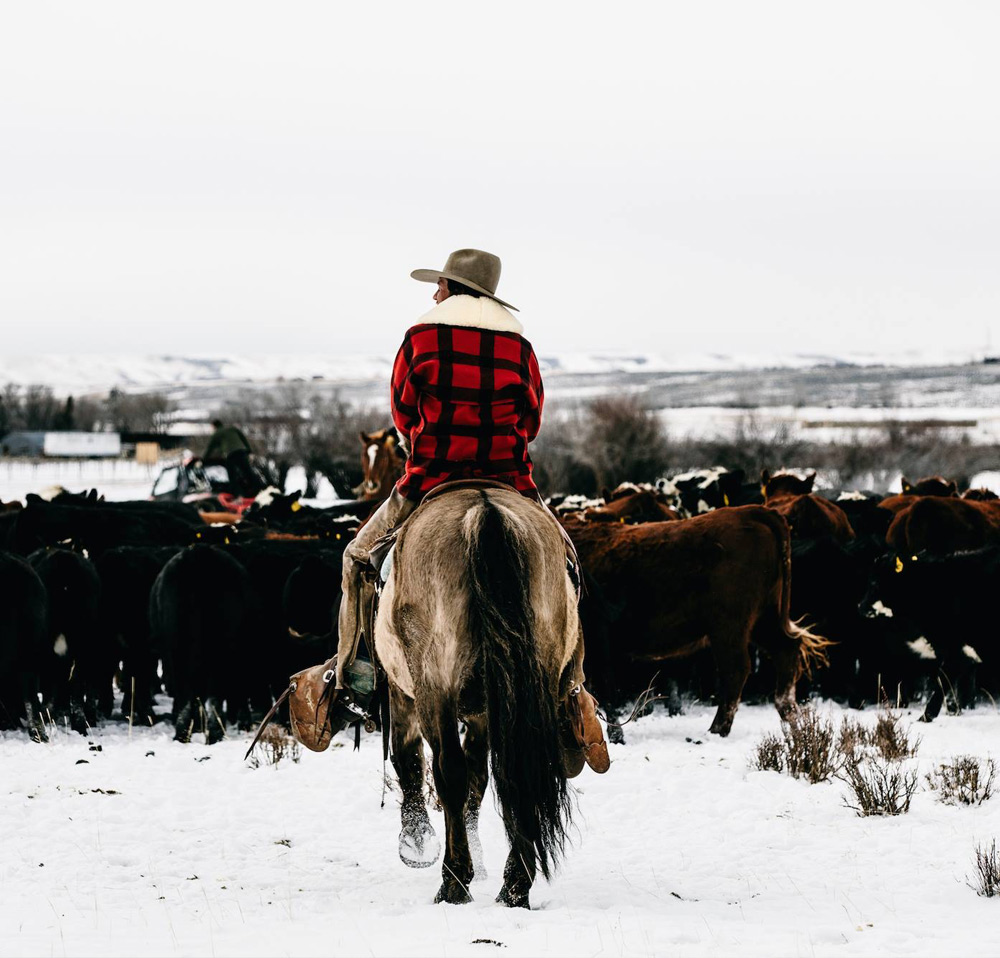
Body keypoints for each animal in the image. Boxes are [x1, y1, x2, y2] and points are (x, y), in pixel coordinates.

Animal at [374, 488, 580, 908]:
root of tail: (484, 511)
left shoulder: (402, 692)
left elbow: (409, 758)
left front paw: (416, 840)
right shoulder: (484, 713)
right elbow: (480, 778)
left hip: (434, 686)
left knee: (448, 771)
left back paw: (454, 881)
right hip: (532, 687)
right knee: (516, 771)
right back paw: (514, 887)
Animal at [564, 506, 828, 740]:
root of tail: (752, 512)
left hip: (729, 627)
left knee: (736, 669)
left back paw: (717, 729)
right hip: (763, 620)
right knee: (786, 650)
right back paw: (791, 717)